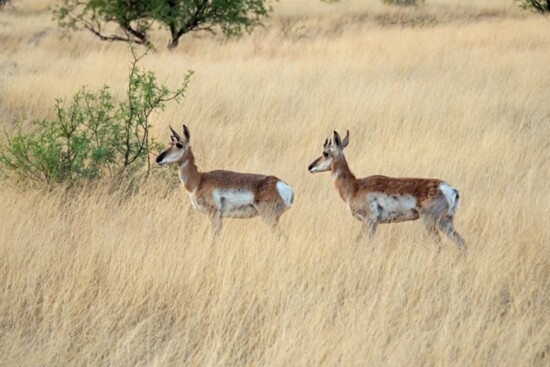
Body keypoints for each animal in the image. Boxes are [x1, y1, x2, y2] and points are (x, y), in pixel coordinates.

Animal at [155, 125, 296, 237]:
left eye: (179, 145)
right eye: (169, 143)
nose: (158, 159)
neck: (199, 180)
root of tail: (282, 185)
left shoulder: (213, 214)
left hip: (269, 218)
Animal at [308, 131, 468, 254]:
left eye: (325, 153)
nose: (310, 167)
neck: (355, 186)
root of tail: (449, 189)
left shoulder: (368, 221)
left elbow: (359, 242)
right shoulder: (374, 224)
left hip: (430, 222)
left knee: (440, 246)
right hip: (445, 222)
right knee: (462, 243)